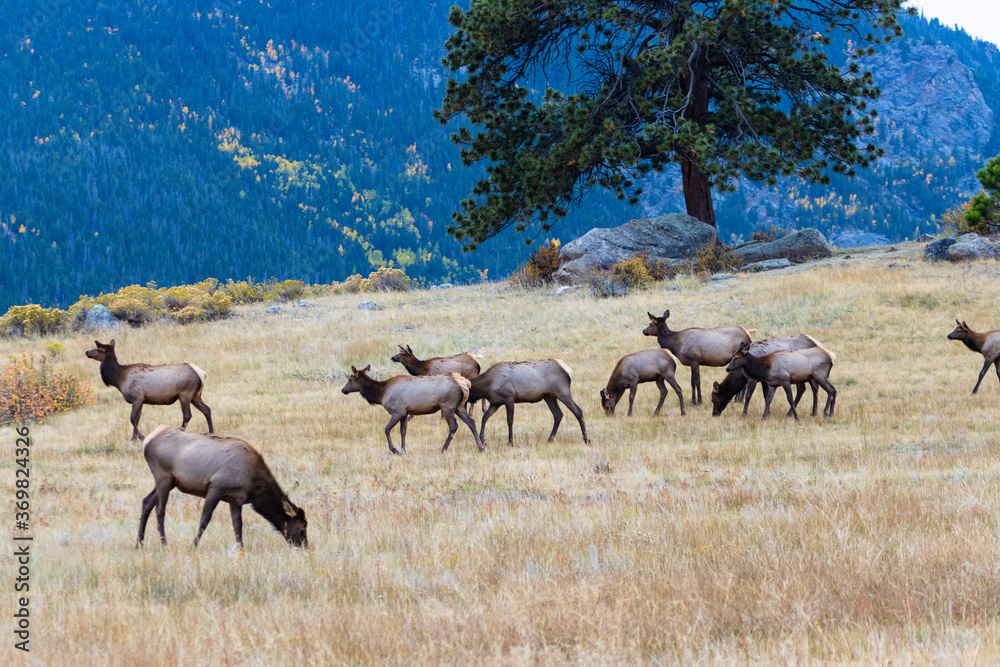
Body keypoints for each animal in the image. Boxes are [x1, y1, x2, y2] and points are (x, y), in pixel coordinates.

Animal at [137, 426, 307, 549]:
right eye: (302, 530)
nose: (304, 547)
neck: (253, 486)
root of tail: (147, 441)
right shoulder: (215, 488)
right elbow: (204, 520)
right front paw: (192, 547)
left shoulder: (235, 499)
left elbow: (238, 526)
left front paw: (241, 550)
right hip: (163, 477)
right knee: (159, 510)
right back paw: (164, 544)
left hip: (169, 481)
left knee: (146, 502)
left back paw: (138, 544)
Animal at [341, 365, 483, 454]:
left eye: (349, 379)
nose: (343, 390)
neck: (381, 394)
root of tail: (464, 384)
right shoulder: (405, 413)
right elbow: (403, 431)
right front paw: (403, 450)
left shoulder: (398, 411)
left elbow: (387, 429)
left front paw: (395, 449)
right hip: (459, 406)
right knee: (471, 422)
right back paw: (481, 447)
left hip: (448, 406)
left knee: (454, 426)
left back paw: (443, 449)